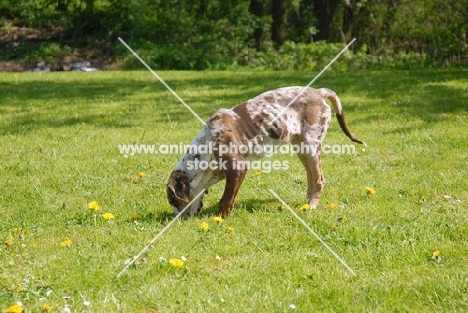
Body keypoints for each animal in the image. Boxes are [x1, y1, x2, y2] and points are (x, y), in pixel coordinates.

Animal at [165, 86, 366, 216]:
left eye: (173, 200)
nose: (177, 219)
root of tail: (319, 92)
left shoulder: (238, 168)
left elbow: (225, 201)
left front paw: (220, 219)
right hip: (300, 147)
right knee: (311, 176)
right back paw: (307, 202)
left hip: (311, 145)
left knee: (318, 180)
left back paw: (312, 206)